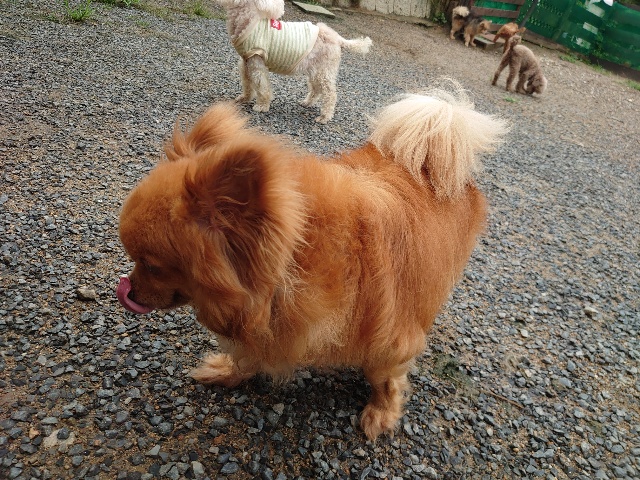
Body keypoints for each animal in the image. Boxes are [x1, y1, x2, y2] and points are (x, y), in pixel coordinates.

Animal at [116, 86, 507, 439]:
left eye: (152, 265)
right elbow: (249, 354)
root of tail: (429, 161)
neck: (297, 262)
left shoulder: (391, 339)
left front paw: (381, 413)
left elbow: (385, 379)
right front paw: (227, 371)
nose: (127, 290)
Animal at [216, 0, 372, 123]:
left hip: (324, 71)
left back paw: (324, 117)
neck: (248, 22)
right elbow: (247, 84)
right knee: (316, 89)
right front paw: (244, 98)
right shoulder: (246, 62)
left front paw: (262, 106)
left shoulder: (257, 63)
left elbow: (262, 87)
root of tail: (338, 39)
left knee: (330, 94)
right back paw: (307, 103)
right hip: (316, 70)